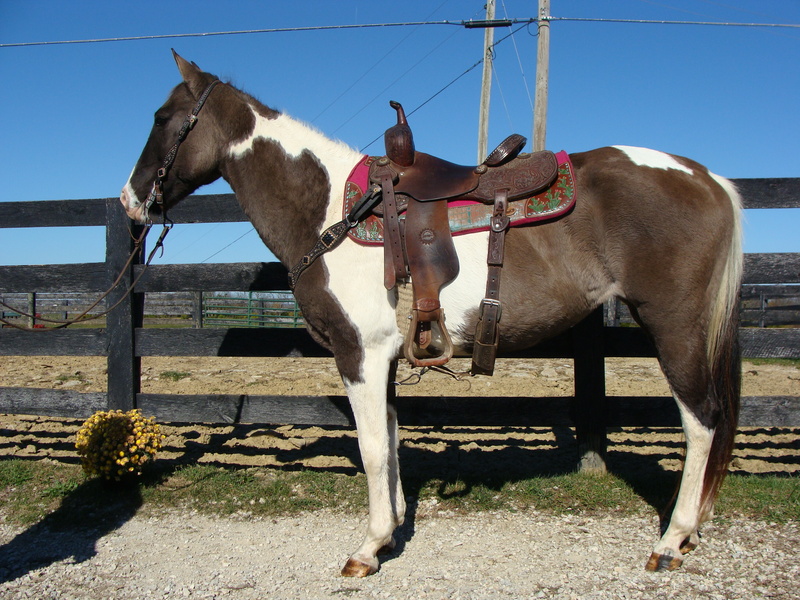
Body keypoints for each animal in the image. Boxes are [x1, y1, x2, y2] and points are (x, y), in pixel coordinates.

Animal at [121, 52, 742, 577]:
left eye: (162, 117)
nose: (130, 201)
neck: (330, 209)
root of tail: (709, 179)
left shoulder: (360, 354)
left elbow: (372, 448)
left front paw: (368, 549)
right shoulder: (388, 358)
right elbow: (392, 440)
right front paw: (393, 531)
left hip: (674, 328)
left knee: (702, 421)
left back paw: (672, 540)